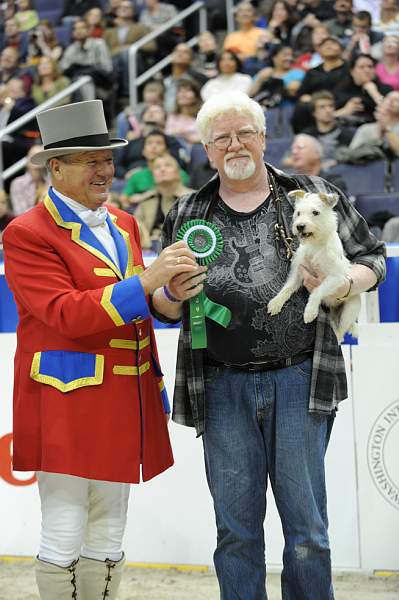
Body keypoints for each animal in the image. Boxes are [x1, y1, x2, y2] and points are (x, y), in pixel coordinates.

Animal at [268, 192, 362, 342]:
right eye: (298, 213)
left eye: (315, 213)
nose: (300, 226)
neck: (316, 245)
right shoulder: (299, 272)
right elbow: (287, 288)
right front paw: (276, 302)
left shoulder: (336, 278)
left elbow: (318, 291)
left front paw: (310, 311)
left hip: (350, 310)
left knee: (340, 332)